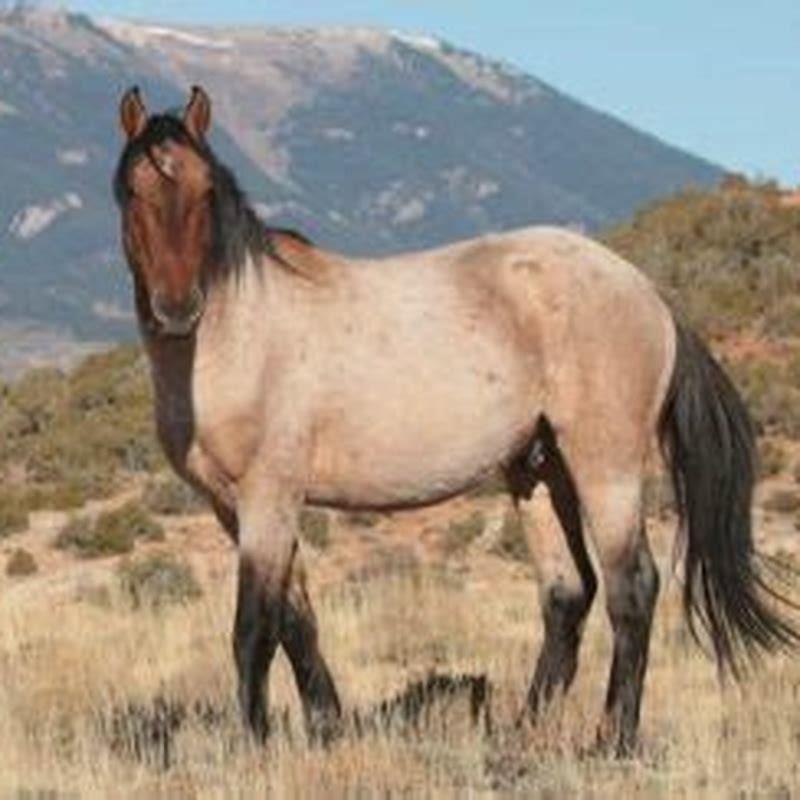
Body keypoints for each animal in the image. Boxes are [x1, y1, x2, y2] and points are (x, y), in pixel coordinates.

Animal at [113, 85, 797, 756]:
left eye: (206, 190)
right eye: (132, 191)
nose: (177, 309)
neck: (243, 332)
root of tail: (649, 295)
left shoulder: (269, 498)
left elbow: (254, 628)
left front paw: (256, 748)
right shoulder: (235, 508)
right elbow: (296, 619)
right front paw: (326, 730)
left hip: (605, 468)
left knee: (633, 589)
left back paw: (614, 742)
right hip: (539, 472)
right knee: (567, 593)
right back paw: (523, 735)